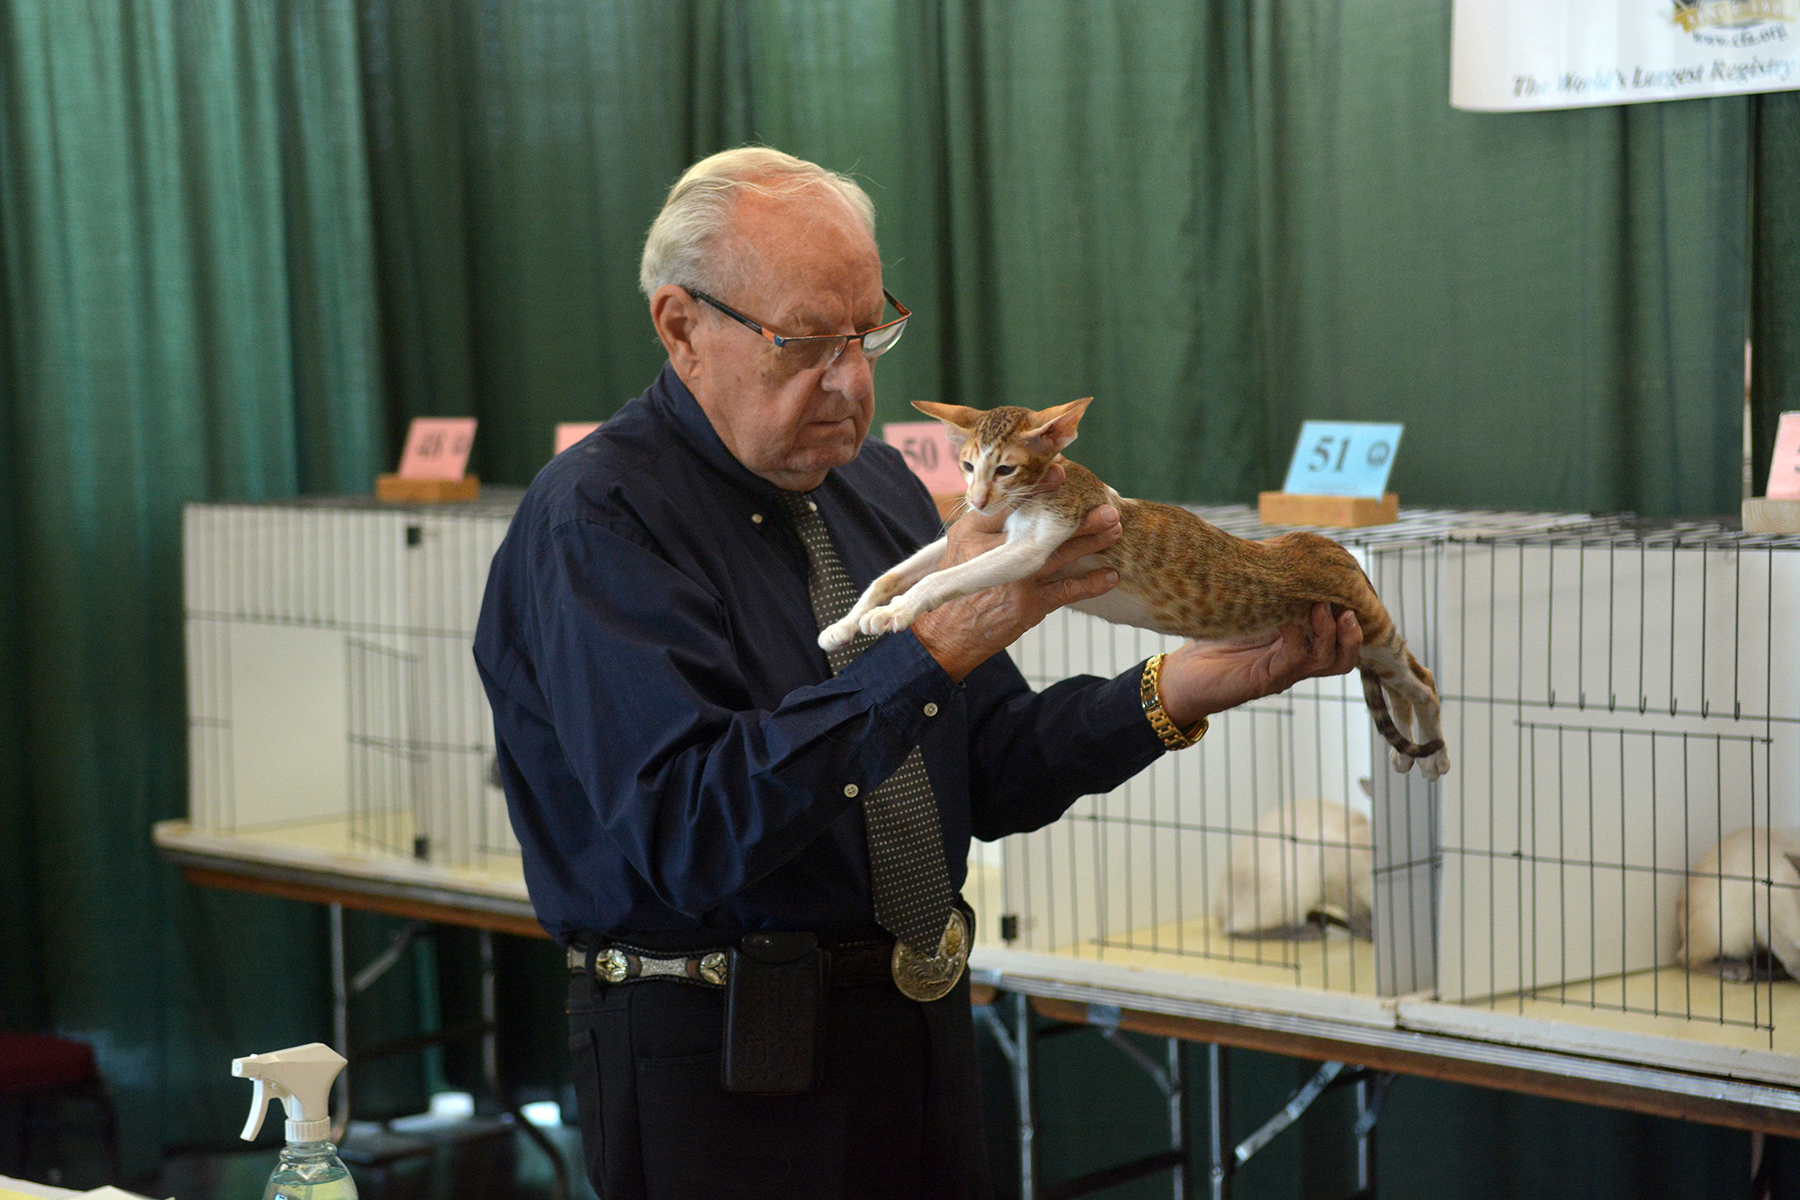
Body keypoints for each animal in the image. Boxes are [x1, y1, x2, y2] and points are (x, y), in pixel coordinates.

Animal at [824, 399, 1447, 784]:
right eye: (966, 464)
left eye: (1005, 470)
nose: (975, 500)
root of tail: (1333, 546)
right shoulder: (984, 537)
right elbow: (896, 571)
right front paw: (847, 623)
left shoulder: (1033, 546)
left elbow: (939, 578)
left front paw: (898, 613)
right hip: (1359, 641)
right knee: (1397, 685)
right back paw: (1405, 757)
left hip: (1372, 625)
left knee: (1423, 680)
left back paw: (1434, 754)